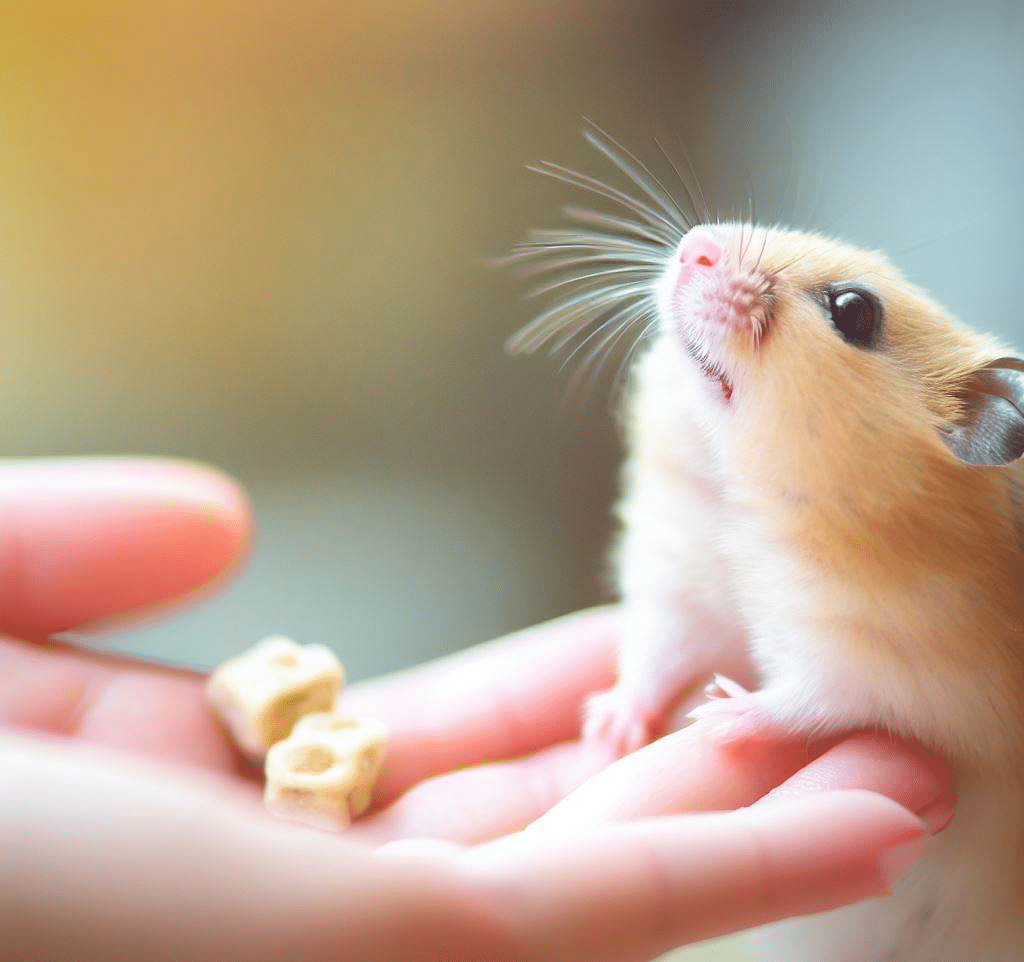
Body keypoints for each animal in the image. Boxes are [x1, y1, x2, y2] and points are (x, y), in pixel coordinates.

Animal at [512, 129, 1024, 962]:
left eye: (854, 310)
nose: (695, 248)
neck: (738, 495)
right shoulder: (684, 594)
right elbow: (655, 656)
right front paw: (608, 725)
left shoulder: (887, 663)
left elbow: (809, 699)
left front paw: (720, 717)